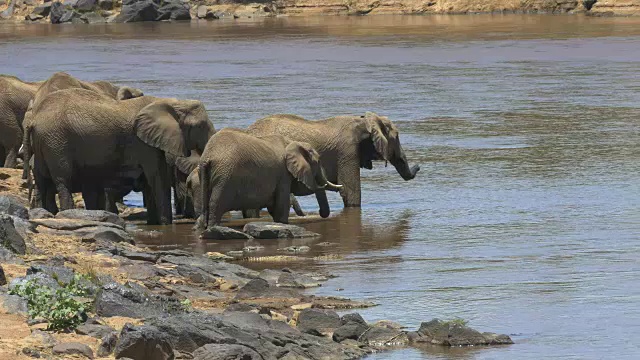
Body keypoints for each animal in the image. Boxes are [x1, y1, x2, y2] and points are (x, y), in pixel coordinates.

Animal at [25, 88, 215, 224]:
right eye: (201, 126)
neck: (169, 102)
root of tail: (34, 119)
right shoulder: (143, 143)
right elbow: (157, 177)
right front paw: (165, 224)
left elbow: (150, 182)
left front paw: (155, 224)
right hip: (56, 142)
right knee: (62, 180)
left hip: (45, 143)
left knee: (44, 182)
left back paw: (48, 213)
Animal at [200, 128, 342, 226]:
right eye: (318, 162)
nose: (320, 213)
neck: (292, 143)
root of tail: (208, 157)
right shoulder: (283, 174)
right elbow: (280, 208)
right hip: (225, 177)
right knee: (216, 204)